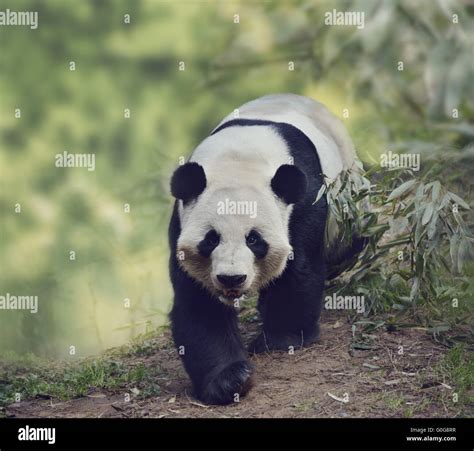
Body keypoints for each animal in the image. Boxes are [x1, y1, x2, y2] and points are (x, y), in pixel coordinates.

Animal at [169, 92, 362, 406]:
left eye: (254, 240)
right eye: (211, 239)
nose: (232, 279)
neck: (238, 160)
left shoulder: (303, 200)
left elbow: (298, 269)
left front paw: (281, 339)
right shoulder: (182, 219)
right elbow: (198, 301)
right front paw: (230, 379)